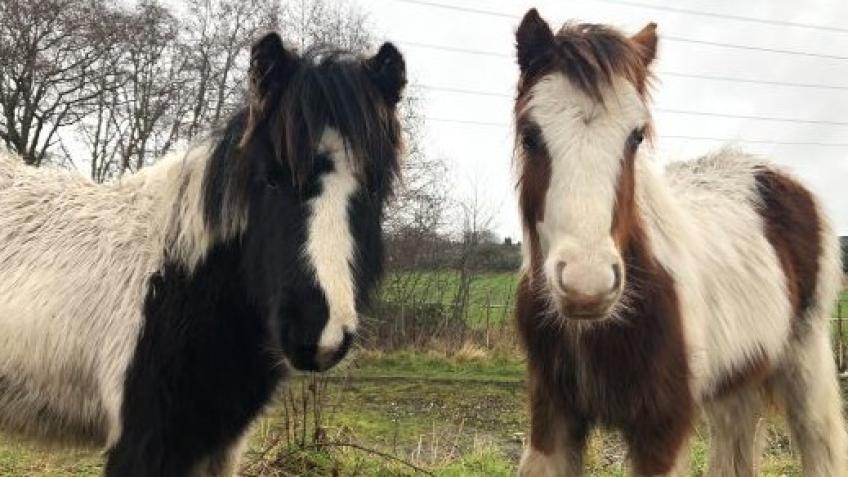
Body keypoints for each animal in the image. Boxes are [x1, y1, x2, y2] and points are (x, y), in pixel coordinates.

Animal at [0, 32, 406, 476]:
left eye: (374, 188)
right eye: (270, 179)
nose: (319, 334)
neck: (180, 283)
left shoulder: (216, 446)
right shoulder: (143, 446)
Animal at [512, 9, 847, 477]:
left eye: (635, 136)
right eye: (530, 134)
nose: (586, 286)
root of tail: (781, 178)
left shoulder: (661, 430)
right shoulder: (552, 418)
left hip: (806, 357)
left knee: (822, 443)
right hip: (737, 379)